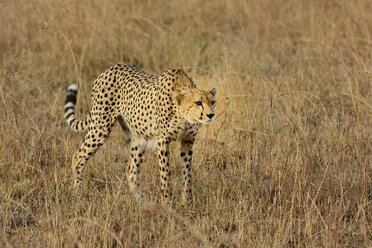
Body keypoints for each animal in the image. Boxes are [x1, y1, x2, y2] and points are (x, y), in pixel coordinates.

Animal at [63, 64, 215, 205]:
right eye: (198, 102)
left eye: (212, 102)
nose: (211, 115)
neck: (184, 116)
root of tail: (111, 68)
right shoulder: (163, 140)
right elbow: (165, 174)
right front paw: (167, 204)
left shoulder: (188, 140)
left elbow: (187, 174)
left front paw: (187, 203)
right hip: (100, 127)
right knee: (78, 156)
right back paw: (77, 192)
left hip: (138, 139)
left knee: (131, 170)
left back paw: (143, 203)